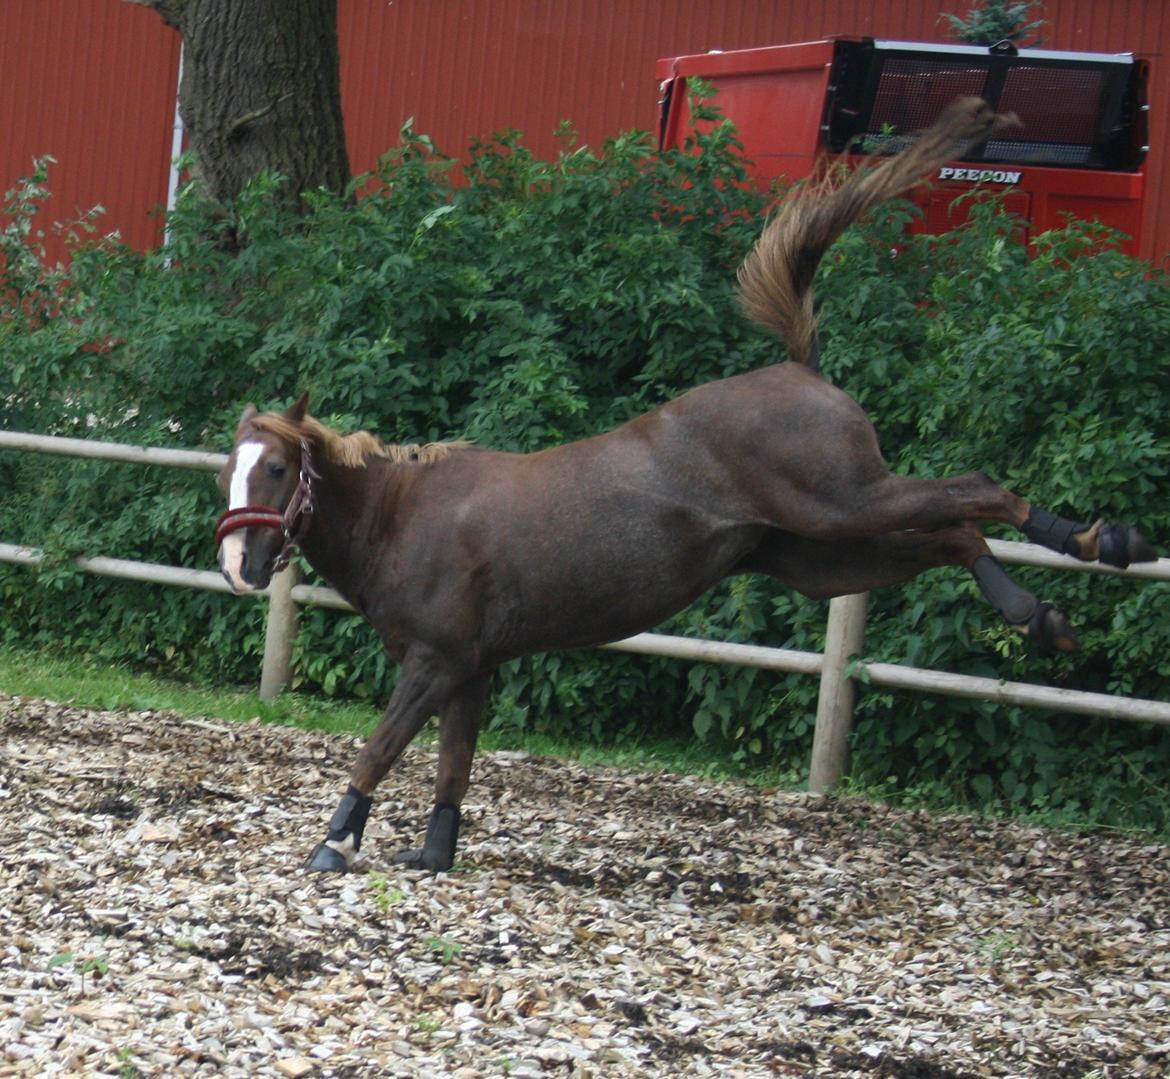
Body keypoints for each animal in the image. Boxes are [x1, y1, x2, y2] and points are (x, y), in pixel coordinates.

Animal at [215, 99, 1156, 873]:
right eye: (230, 468)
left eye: (278, 468)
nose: (237, 567)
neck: (407, 515)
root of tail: (800, 367)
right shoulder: (469, 668)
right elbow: (452, 767)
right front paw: (431, 853)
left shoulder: (436, 660)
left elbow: (379, 748)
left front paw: (334, 842)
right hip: (819, 555)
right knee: (951, 534)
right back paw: (1040, 615)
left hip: (844, 503)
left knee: (979, 490)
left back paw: (1100, 540)